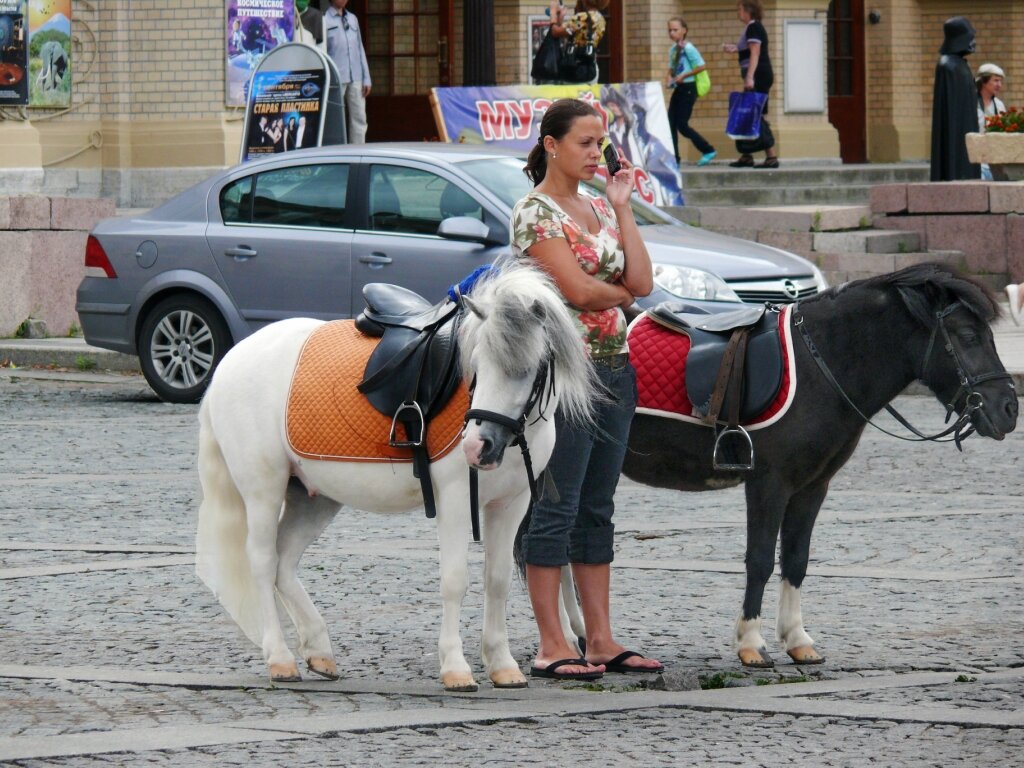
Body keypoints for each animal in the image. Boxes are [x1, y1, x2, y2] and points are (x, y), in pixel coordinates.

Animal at [194, 264, 598, 692]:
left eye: (526, 370)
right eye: (476, 364)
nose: (477, 447)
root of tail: (229, 362)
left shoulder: (511, 504)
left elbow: (498, 580)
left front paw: (502, 665)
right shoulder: (455, 498)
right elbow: (454, 579)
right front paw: (456, 667)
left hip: (313, 495)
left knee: (283, 562)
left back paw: (319, 650)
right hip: (263, 491)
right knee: (262, 560)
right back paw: (280, 658)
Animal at [520, 264, 1015, 667]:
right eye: (968, 337)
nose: (1008, 408)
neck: (822, 364)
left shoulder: (813, 486)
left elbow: (796, 559)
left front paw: (797, 640)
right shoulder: (768, 483)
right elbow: (759, 559)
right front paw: (751, 644)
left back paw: (578, 636)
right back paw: (566, 640)